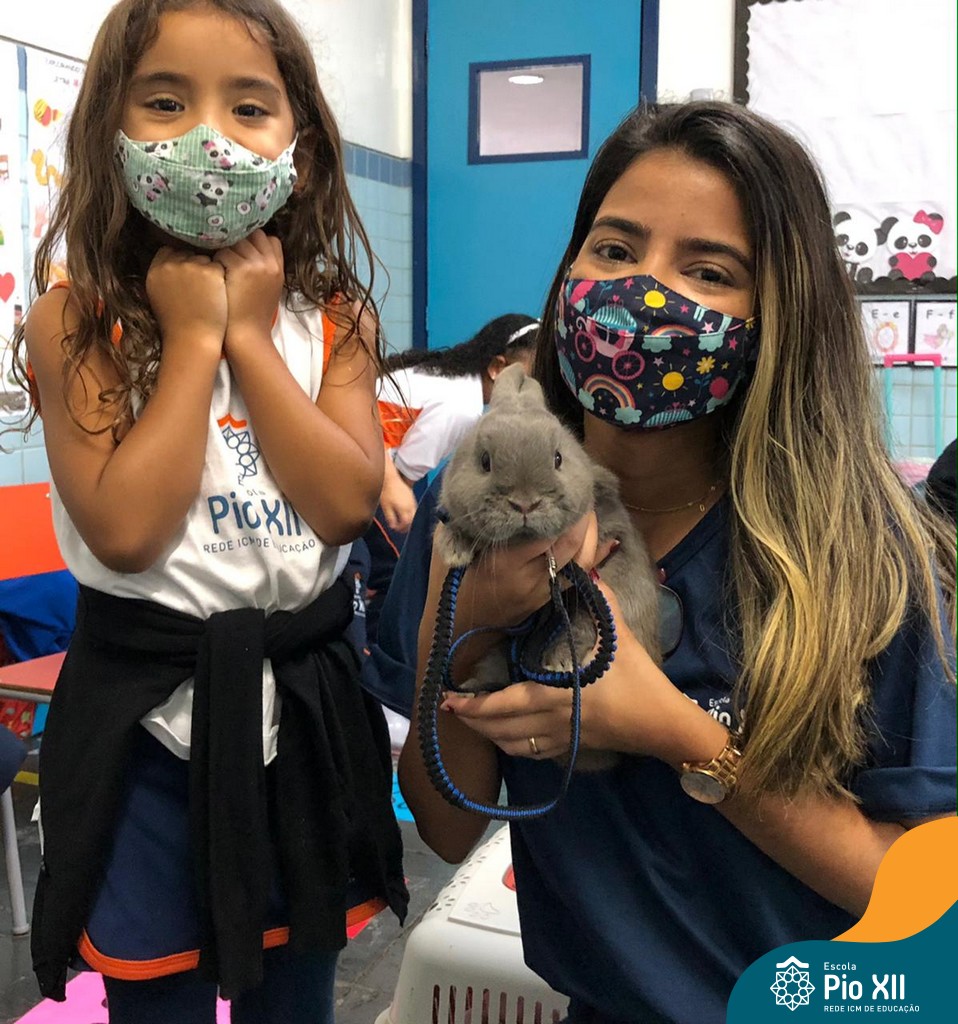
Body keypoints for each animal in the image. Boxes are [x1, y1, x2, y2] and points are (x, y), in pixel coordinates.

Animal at [434, 363, 661, 770]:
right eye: (485, 461)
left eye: (558, 459)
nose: (525, 503)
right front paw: (454, 549)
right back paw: (473, 692)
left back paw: (557, 663)